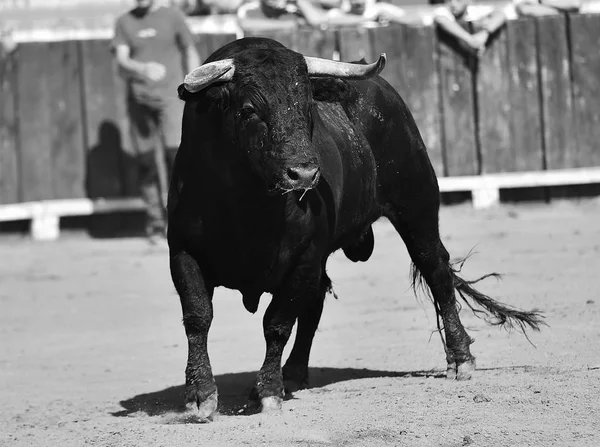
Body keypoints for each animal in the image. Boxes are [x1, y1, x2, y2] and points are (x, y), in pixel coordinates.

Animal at [165, 36, 544, 418]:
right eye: (248, 110)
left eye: (309, 108)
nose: (304, 174)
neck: (247, 203)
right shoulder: (182, 251)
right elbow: (198, 317)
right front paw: (200, 395)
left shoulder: (304, 257)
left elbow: (276, 323)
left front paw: (269, 391)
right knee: (316, 301)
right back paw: (295, 372)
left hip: (417, 206)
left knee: (436, 270)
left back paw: (461, 358)